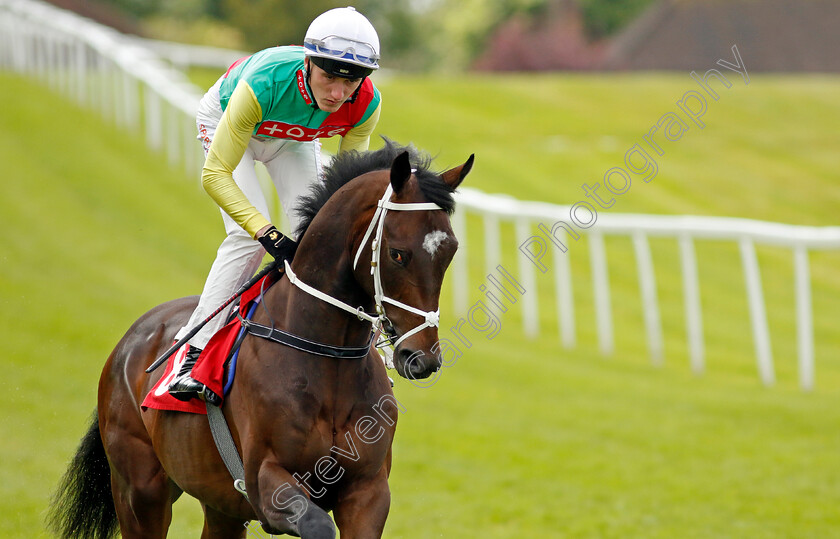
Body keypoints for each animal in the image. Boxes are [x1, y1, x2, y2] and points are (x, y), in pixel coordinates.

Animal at [47, 141, 472, 536]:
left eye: (450, 252)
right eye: (398, 254)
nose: (422, 358)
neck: (325, 355)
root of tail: (132, 338)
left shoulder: (367, 491)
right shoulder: (267, 483)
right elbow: (318, 525)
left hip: (219, 503)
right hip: (140, 489)